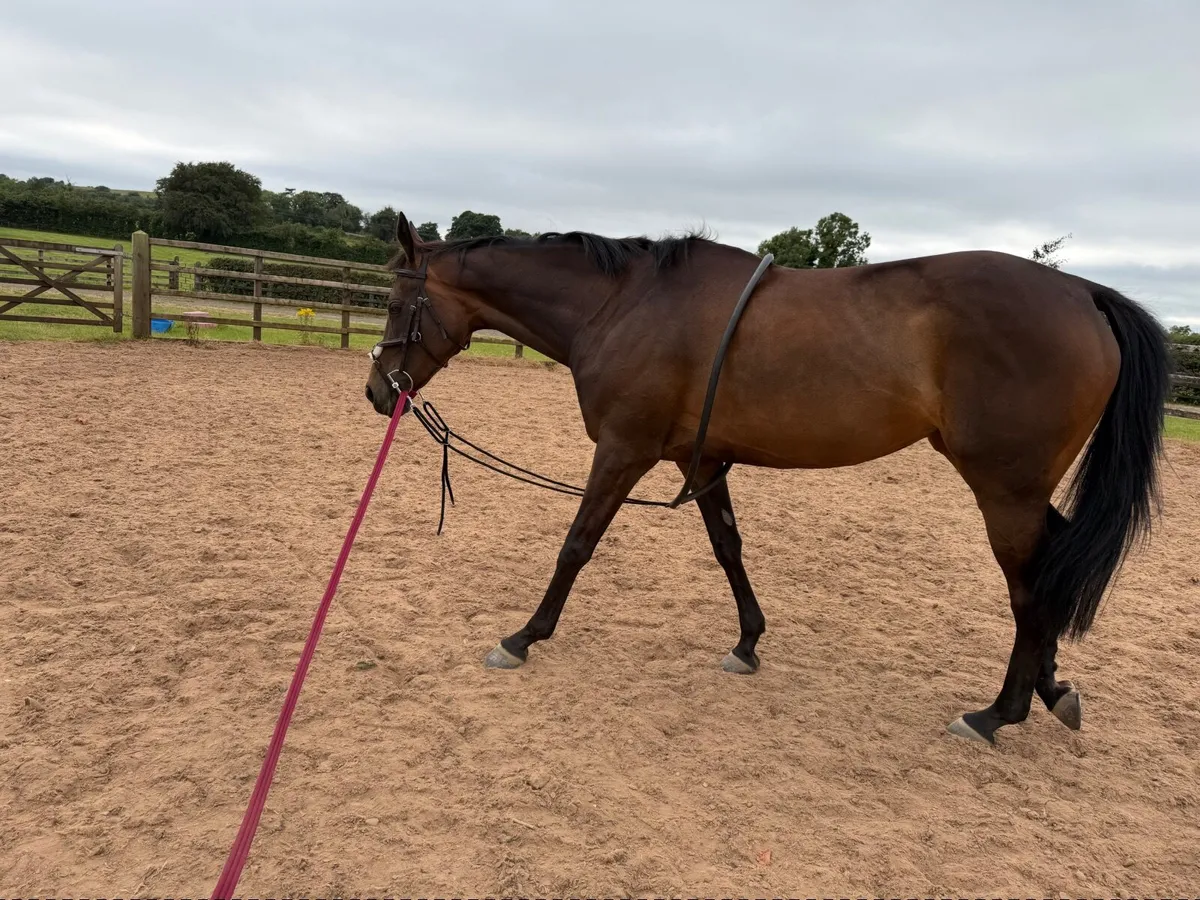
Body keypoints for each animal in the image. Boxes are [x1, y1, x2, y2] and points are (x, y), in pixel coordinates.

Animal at [364, 212, 1170, 746]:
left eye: (396, 301)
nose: (378, 391)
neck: (624, 306)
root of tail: (1085, 293)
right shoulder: (701, 460)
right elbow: (729, 549)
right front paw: (748, 643)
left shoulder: (624, 451)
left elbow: (577, 543)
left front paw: (524, 636)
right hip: (1024, 491)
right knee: (1052, 570)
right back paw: (1051, 688)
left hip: (1005, 491)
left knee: (1030, 586)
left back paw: (997, 713)